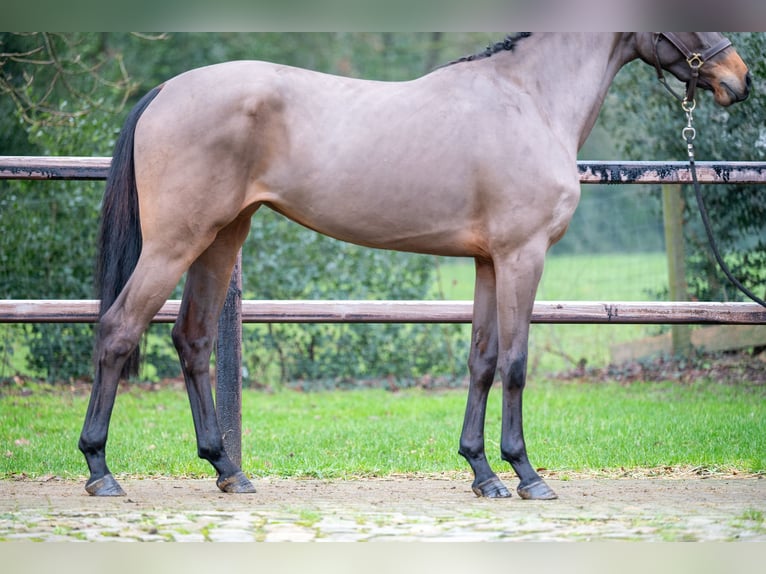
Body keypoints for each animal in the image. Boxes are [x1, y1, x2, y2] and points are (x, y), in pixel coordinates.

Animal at [81, 33, 752, 500]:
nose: (740, 79)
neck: (529, 100)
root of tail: (165, 91)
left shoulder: (488, 263)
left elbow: (482, 361)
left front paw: (483, 473)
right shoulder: (523, 256)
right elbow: (515, 364)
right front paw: (527, 474)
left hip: (221, 239)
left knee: (192, 339)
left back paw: (227, 470)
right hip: (176, 242)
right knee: (118, 330)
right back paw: (100, 469)